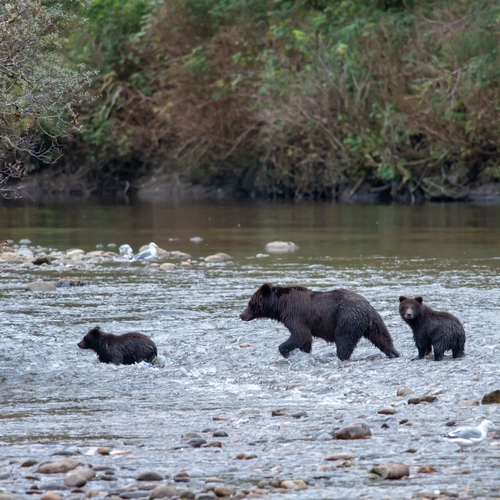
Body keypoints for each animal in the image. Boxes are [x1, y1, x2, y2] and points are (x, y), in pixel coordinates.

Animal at [240, 286, 400, 360]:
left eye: (250, 303)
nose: (241, 315)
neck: (280, 305)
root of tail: (367, 308)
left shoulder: (296, 315)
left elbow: (300, 334)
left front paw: (285, 351)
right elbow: (305, 340)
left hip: (346, 319)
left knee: (344, 342)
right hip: (375, 322)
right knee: (383, 338)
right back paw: (394, 353)